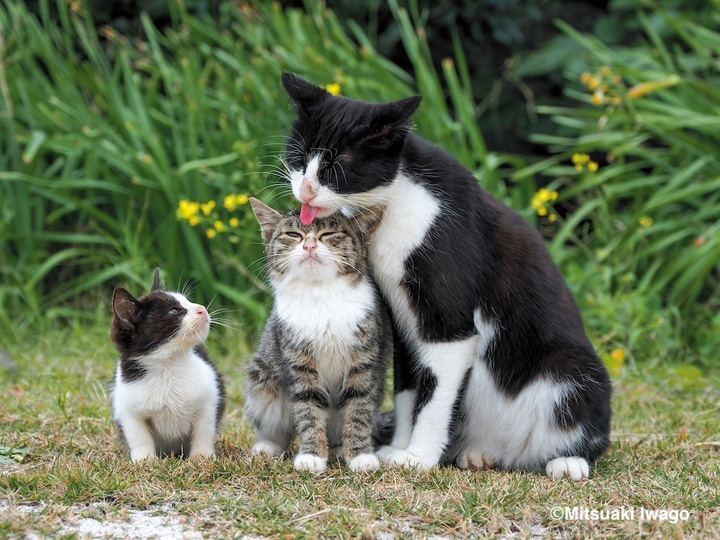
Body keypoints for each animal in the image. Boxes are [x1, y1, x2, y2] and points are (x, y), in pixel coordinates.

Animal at [107, 272, 222, 462]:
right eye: (175, 311)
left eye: (188, 301)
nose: (202, 309)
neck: (167, 364)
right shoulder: (127, 405)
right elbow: (138, 433)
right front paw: (144, 460)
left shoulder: (209, 396)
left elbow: (204, 428)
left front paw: (201, 456)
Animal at [278, 73, 612, 480]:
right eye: (299, 157)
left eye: (336, 166)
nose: (305, 189)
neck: (397, 202)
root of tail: (513, 453)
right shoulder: (402, 322)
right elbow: (409, 386)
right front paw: (399, 447)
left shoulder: (449, 328)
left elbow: (435, 392)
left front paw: (419, 456)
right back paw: (476, 455)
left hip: (572, 369)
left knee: (585, 425)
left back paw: (567, 461)